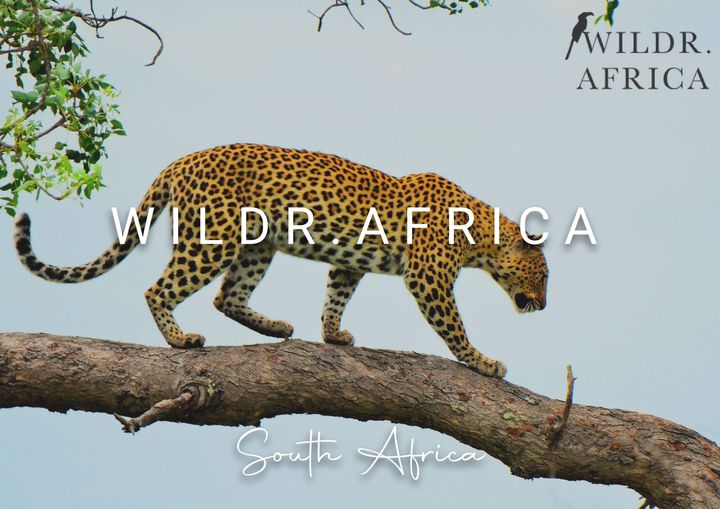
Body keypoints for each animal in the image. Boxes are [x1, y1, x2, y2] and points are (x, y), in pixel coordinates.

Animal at [13, 143, 548, 378]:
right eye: (543, 275)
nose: (543, 305)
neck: (480, 235)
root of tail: (180, 160)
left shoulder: (351, 262)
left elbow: (336, 293)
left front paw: (333, 335)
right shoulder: (429, 278)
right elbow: (453, 326)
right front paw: (483, 362)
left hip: (257, 244)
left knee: (228, 296)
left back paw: (275, 328)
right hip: (214, 239)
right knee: (158, 289)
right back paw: (181, 340)